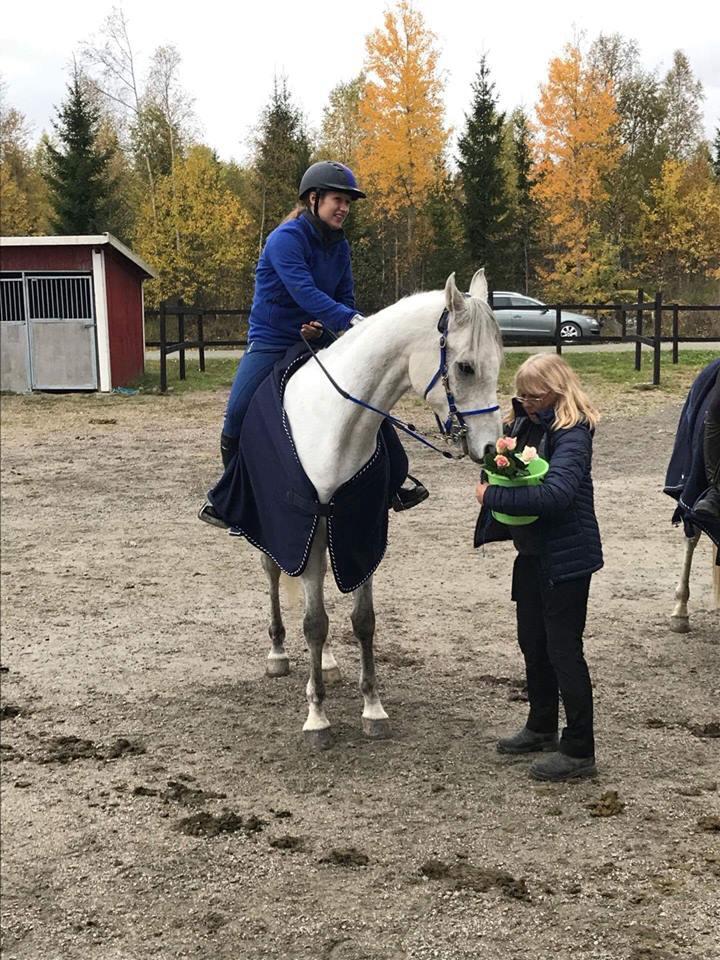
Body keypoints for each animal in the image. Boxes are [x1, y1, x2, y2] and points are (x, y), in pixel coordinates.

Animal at [262, 266, 504, 748]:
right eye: (465, 367)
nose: (490, 447)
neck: (339, 426)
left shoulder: (360, 531)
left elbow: (363, 620)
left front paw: (372, 708)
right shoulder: (308, 532)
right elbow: (314, 622)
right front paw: (317, 717)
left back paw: (328, 664)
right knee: (274, 574)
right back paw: (278, 652)